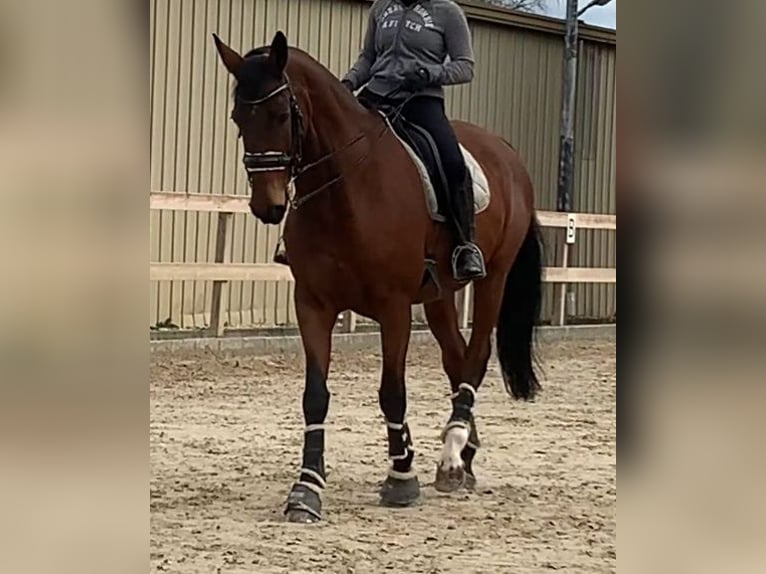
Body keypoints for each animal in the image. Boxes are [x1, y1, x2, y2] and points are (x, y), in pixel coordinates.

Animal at [213, 32, 544, 528]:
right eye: (239, 118)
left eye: (280, 115)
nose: (267, 206)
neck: (347, 188)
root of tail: (504, 150)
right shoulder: (313, 305)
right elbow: (315, 396)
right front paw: (307, 489)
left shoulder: (393, 307)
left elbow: (392, 392)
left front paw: (401, 477)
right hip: (439, 296)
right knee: (455, 358)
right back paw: (463, 459)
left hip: (493, 279)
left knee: (476, 356)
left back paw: (452, 450)